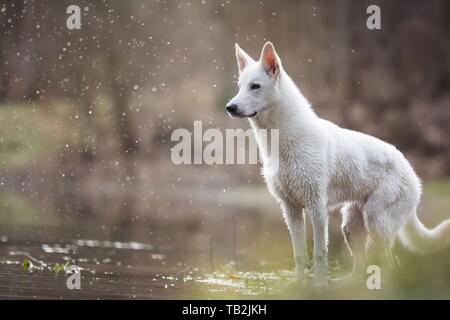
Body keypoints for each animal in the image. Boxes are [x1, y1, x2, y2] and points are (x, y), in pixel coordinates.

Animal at [227, 42, 448, 284]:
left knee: (391, 266)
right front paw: (298, 284)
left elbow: (319, 253)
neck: (283, 143)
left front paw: (318, 285)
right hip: (351, 227)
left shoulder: (316, 208)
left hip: (376, 222)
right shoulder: (291, 209)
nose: (230, 107)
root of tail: (412, 174)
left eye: (255, 86)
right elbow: (299, 254)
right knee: (361, 269)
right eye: (240, 87)